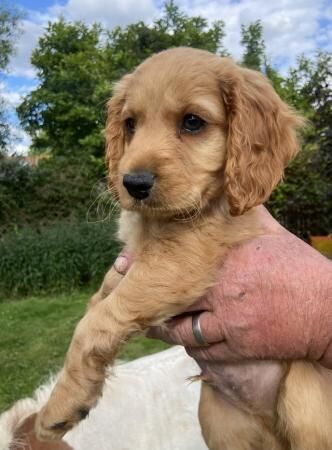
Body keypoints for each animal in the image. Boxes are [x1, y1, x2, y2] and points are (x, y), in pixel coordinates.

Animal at [35, 47, 332, 448]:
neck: (160, 222)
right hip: (217, 417)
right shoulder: (129, 264)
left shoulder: (178, 261)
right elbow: (98, 302)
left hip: (303, 390)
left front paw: (57, 408)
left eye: (192, 122)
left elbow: (95, 323)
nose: (133, 183)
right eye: (130, 124)